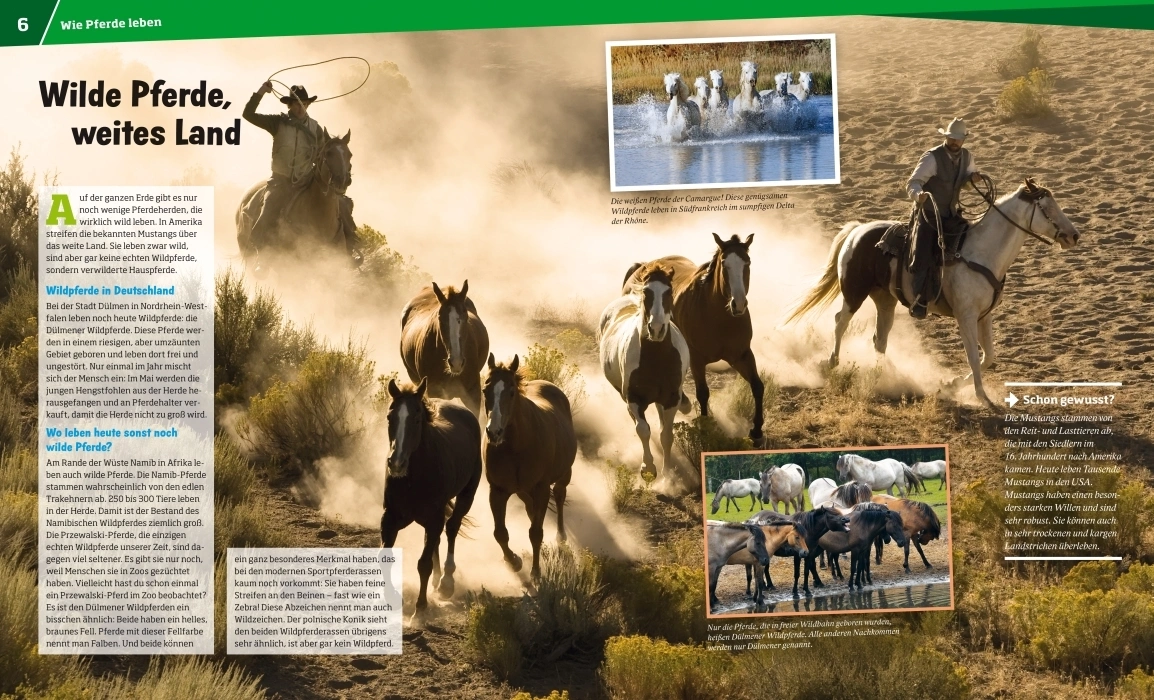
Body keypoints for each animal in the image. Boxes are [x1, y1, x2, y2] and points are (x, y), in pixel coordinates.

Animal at [380, 378, 482, 622]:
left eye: (416, 419)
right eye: (390, 417)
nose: (396, 463)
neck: (413, 479)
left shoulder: (434, 518)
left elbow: (423, 564)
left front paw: (420, 609)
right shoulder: (390, 517)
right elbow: (384, 556)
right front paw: (394, 597)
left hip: (467, 495)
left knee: (452, 527)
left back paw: (446, 582)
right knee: (436, 538)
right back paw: (438, 580)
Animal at [482, 354, 577, 579]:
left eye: (511, 392)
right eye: (485, 390)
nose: (494, 432)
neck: (516, 447)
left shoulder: (541, 489)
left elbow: (535, 533)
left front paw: (535, 571)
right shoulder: (497, 491)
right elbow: (500, 533)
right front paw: (513, 561)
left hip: (564, 475)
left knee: (559, 496)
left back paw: (561, 536)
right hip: (523, 491)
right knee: (530, 509)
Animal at [599, 262, 691, 480]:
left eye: (669, 291)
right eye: (647, 292)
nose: (656, 329)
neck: (656, 359)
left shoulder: (671, 399)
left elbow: (666, 435)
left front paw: (668, 474)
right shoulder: (633, 399)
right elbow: (643, 429)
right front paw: (648, 468)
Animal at [622, 233, 763, 440]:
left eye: (748, 262)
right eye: (724, 263)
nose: (738, 304)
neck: (719, 318)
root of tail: (641, 266)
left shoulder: (741, 355)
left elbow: (757, 386)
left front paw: (757, 431)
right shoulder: (697, 360)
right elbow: (703, 393)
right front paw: (705, 429)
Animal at [784, 179, 1081, 408]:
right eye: (1046, 208)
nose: (1074, 235)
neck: (981, 252)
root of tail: (857, 231)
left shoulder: (984, 316)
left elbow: (988, 357)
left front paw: (951, 384)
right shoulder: (965, 316)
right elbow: (974, 356)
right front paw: (981, 396)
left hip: (885, 300)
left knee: (880, 338)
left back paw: (891, 377)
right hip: (854, 292)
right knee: (840, 322)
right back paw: (832, 362)